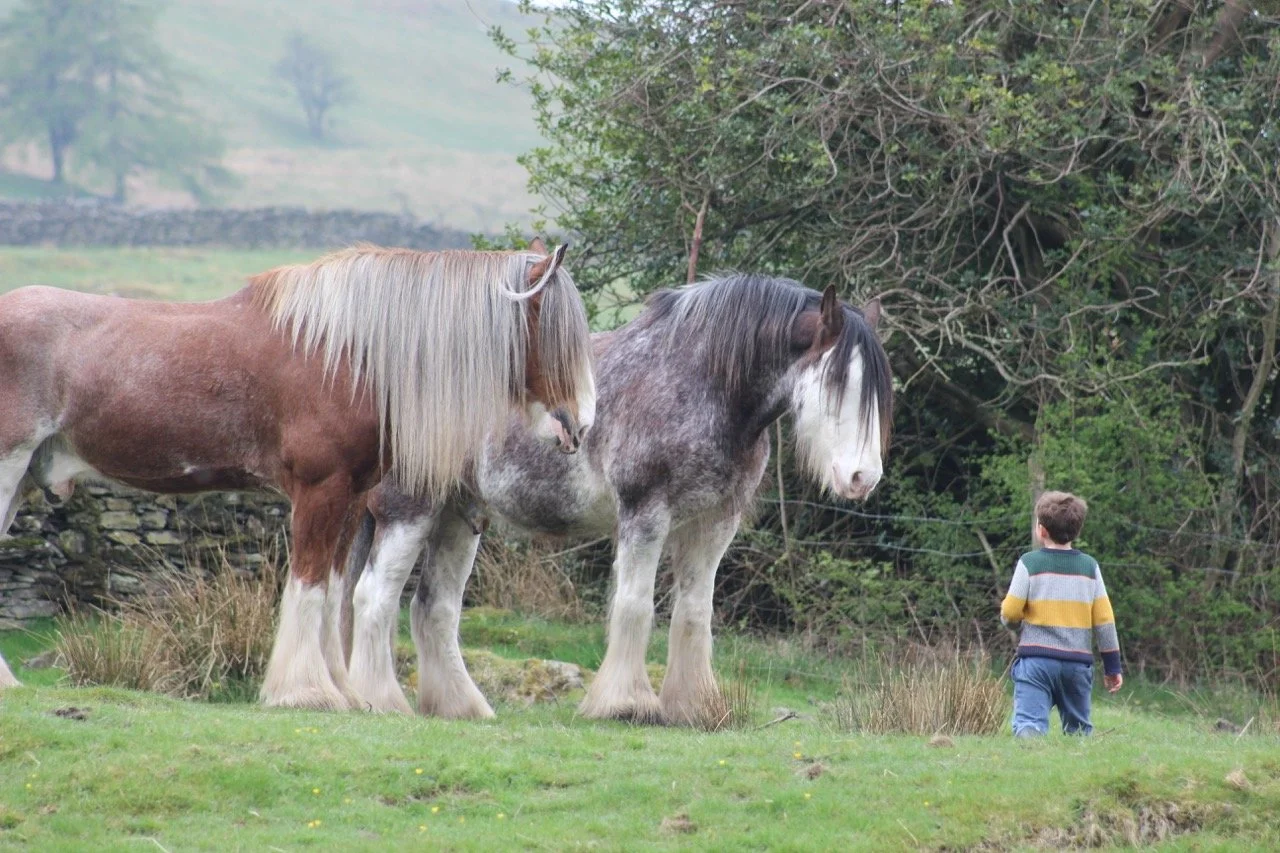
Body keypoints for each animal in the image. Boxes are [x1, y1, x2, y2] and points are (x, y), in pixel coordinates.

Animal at [0, 242, 596, 708]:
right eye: (553, 332)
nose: (583, 423)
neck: (345, 353)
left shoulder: (350, 498)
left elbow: (331, 593)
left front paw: (347, 693)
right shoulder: (319, 490)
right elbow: (308, 588)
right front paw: (305, 691)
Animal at [341, 273, 892, 724]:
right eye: (837, 382)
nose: (863, 478)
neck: (701, 383)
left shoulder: (715, 522)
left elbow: (695, 611)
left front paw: (694, 706)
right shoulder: (645, 513)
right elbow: (633, 605)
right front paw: (625, 703)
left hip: (459, 516)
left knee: (433, 609)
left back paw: (463, 707)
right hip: (410, 510)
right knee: (374, 597)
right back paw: (379, 701)